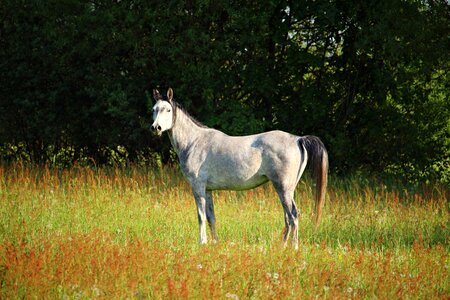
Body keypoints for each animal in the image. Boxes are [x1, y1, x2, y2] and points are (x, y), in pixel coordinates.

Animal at [151, 87, 326, 248]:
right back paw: (282, 246)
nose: (156, 128)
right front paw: (215, 243)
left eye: (167, 109)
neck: (194, 142)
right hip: (286, 190)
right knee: (288, 217)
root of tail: (297, 139)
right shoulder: (208, 190)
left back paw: (293, 247)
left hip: (283, 188)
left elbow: (201, 216)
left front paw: (203, 242)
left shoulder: (198, 187)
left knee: (294, 215)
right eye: (154, 109)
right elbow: (211, 217)